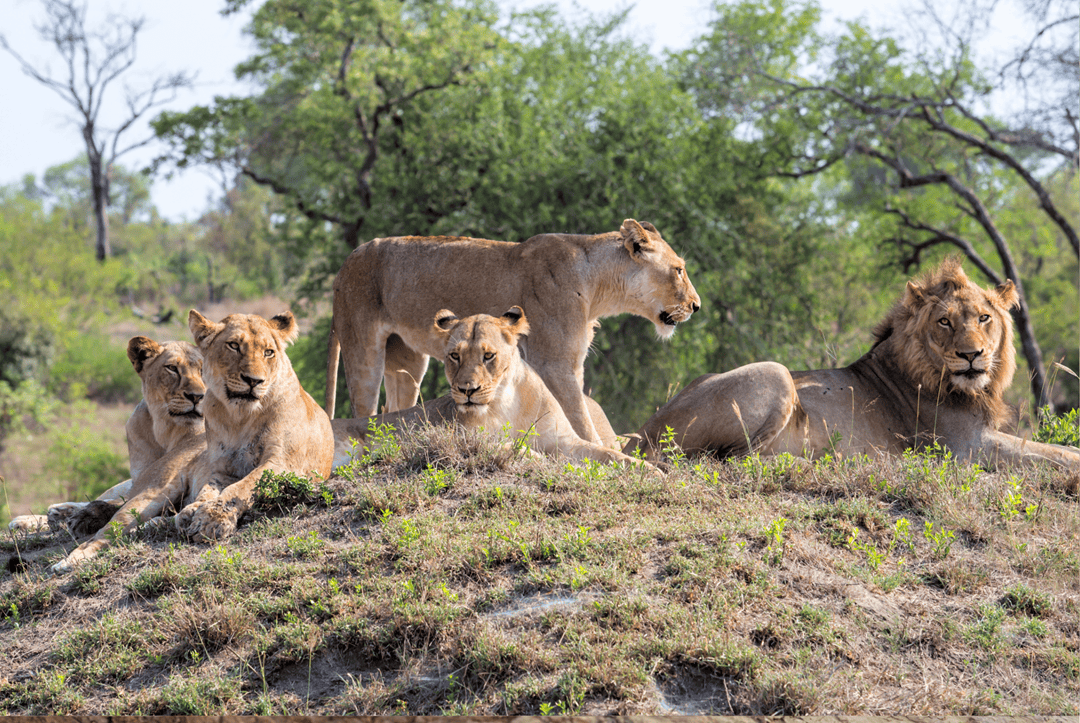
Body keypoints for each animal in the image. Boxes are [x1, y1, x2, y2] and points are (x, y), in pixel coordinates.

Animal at [173, 306, 332, 538]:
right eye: (234, 345)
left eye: (268, 352)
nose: (254, 381)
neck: (240, 417)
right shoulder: (223, 469)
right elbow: (207, 490)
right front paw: (192, 512)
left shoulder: (282, 462)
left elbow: (242, 487)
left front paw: (212, 518)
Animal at [328, 217, 699, 445]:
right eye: (678, 270)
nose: (696, 306)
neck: (598, 289)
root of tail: (347, 259)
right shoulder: (555, 363)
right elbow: (580, 419)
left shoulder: (572, 363)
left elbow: (578, 413)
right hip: (363, 349)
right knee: (364, 409)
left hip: (408, 361)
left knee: (395, 407)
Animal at [328, 306, 652, 471]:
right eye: (454, 356)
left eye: (488, 355)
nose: (467, 390)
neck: (505, 401)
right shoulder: (463, 439)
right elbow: (509, 446)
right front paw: (536, 458)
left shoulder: (564, 440)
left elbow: (609, 455)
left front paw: (650, 471)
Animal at [626, 256, 1080, 471]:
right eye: (945, 321)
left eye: (984, 318)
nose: (972, 355)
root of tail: (637, 437)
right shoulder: (965, 448)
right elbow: (1050, 455)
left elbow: (1056, 450)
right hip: (774, 373)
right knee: (731, 460)